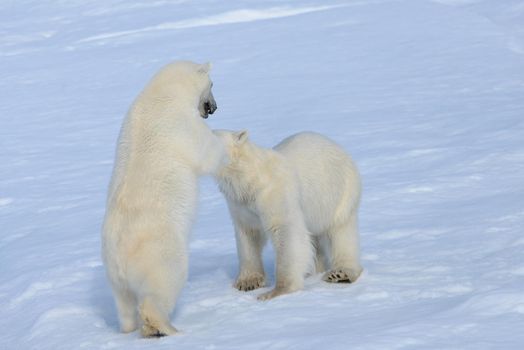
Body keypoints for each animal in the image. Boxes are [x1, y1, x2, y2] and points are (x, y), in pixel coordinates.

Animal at [101, 61, 226, 338]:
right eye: (212, 84)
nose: (214, 107)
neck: (160, 93)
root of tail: (120, 257)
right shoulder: (181, 124)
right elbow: (207, 152)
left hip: (113, 276)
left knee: (124, 304)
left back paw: (130, 328)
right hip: (160, 251)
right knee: (165, 283)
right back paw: (167, 327)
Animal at [215, 130, 362, 300]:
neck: (247, 178)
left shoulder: (274, 193)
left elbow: (286, 232)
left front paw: (277, 291)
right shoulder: (240, 205)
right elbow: (248, 235)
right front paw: (248, 282)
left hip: (339, 195)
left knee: (341, 234)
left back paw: (340, 273)